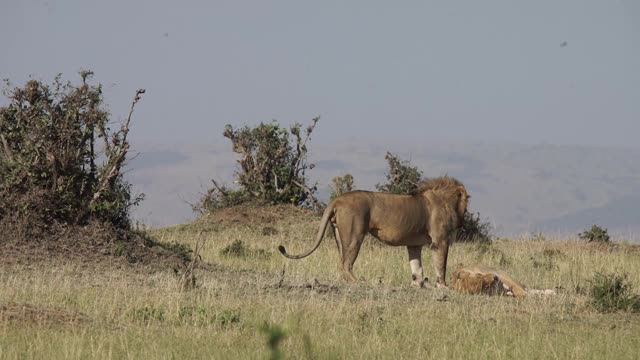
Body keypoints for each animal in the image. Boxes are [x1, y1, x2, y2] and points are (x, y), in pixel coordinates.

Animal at [278, 176, 468, 286]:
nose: (463, 221)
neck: (445, 201)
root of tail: (338, 199)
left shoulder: (414, 244)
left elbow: (416, 267)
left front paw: (418, 285)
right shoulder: (440, 241)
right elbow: (441, 265)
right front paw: (443, 286)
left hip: (339, 236)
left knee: (341, 263)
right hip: (355, 236)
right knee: (345, 264)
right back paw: (361, 282)